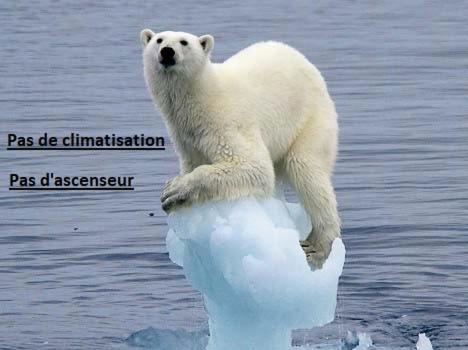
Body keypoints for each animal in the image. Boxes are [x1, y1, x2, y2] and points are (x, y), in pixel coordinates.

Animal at [139, 30, 340, 266]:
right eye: (159, 40)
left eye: (184, 42)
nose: (167, 52)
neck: (201, 97)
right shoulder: (186, 137)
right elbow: (194, 162)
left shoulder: (225, 122)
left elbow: (252, 166)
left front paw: (173, 190)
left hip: (310, 120)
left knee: (307, 170)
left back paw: (317, 246)